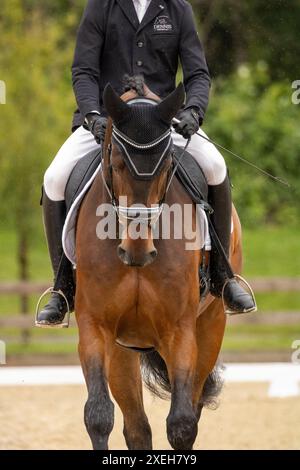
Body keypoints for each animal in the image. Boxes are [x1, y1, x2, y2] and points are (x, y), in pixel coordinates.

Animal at [75, 78, 244, 452]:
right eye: (116, 161)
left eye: (168, 165)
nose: (137, 251)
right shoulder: (94, 326)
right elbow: (98, 415)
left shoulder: (179, 330)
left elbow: (181, 424)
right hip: (122, 349)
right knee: (137, 426)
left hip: (210, 326)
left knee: (192, 408)